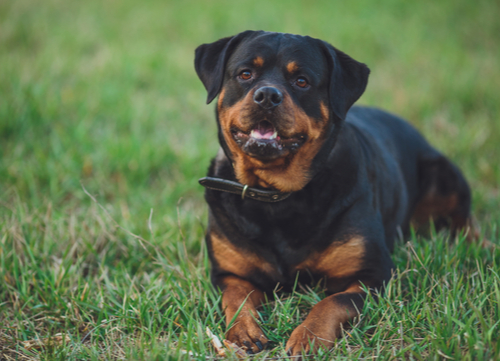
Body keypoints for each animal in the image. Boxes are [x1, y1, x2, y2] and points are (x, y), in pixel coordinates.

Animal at [193, 30, 474, 354]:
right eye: (245, 74)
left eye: (301, 81)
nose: (267, 95)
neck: (276, 196)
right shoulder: (229, 273)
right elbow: (236, 298)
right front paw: (243, 334)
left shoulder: (374, 274)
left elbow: (332, 302)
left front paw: (308, 336)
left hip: (444, 175)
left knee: (465, 218)